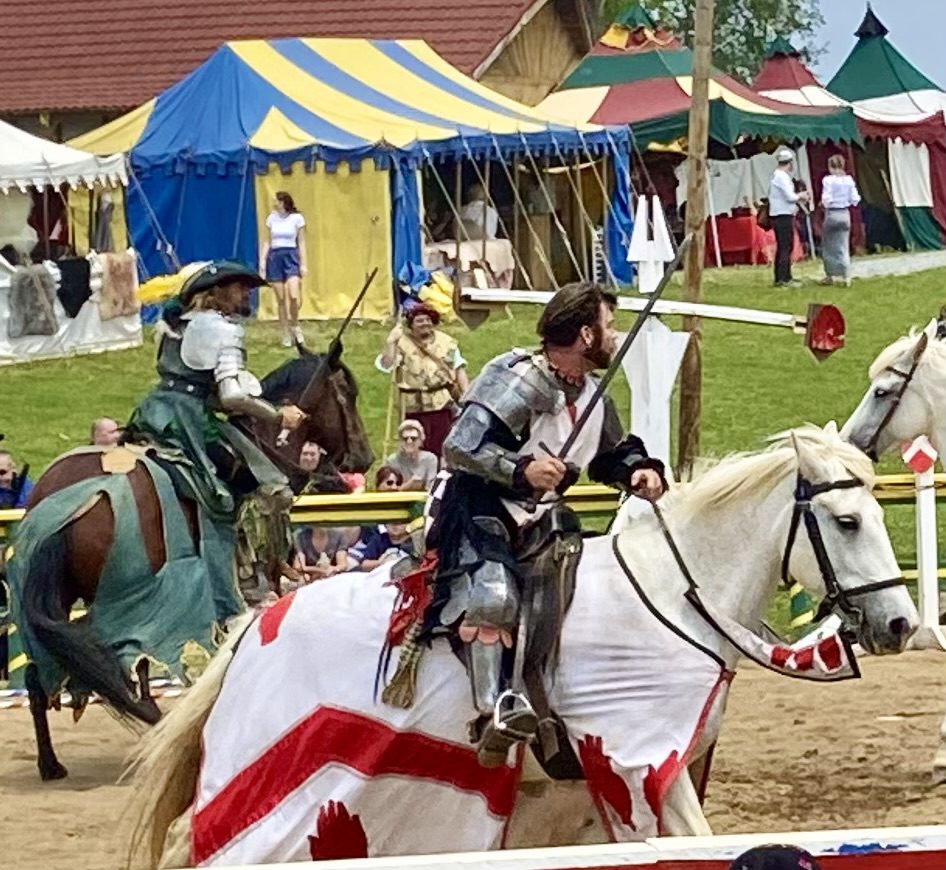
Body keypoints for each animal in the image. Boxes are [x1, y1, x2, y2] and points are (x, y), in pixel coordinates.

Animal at [12, 348, 372, 784]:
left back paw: (52, 762)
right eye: (347, 393)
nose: (364, 458)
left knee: (42, 675)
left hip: (60, 599)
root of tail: (64, 503)